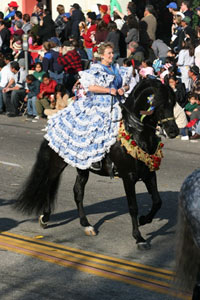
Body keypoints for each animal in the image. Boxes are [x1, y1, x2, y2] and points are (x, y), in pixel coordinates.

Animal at [14, 79, 179, 251]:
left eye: (172, 103)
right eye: (159, 104)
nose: (173, 131)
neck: (136, 133)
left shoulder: (149, 174)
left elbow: (157, 201)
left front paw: (144, 220)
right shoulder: (128, 177)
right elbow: (133, 207)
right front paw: (139, 238)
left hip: (82, 169)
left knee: (78, 192)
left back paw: (86, 225)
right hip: (58, 164)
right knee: (48, 184)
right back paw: (45, 218)